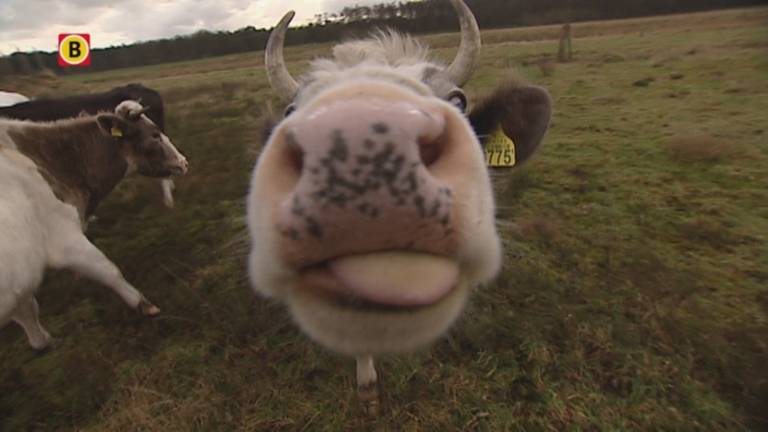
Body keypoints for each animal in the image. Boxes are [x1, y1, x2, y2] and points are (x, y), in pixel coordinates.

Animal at [0, 101, 189, 352]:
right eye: (155, 134)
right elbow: (109, 270)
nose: (184, 161)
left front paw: (42, 341)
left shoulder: (20, 276)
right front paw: (144, 304)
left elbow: (27, 308)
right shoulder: (63, 237)